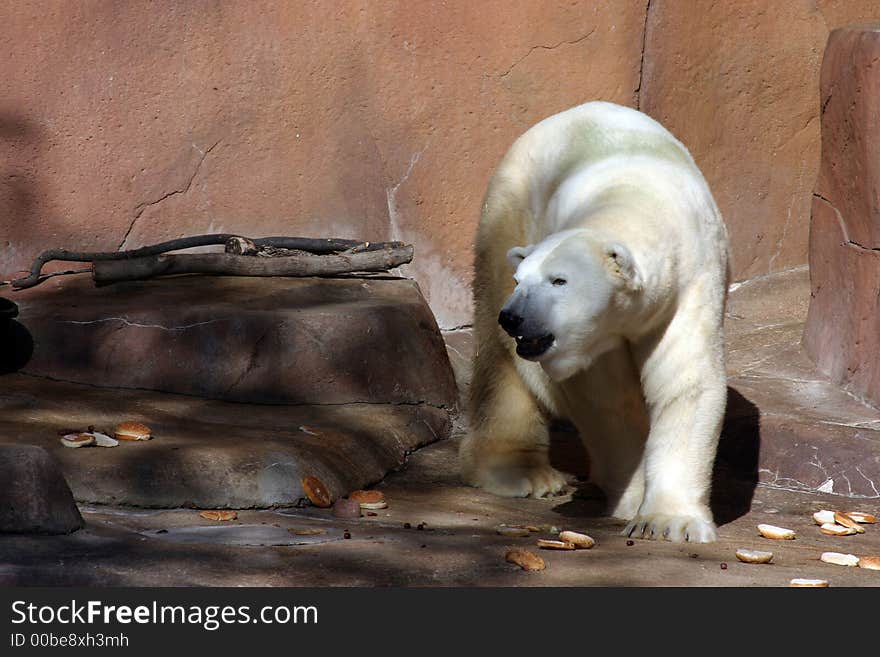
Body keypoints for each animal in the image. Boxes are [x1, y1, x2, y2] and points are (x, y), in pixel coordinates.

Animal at [460, 101, 728, 544]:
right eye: (522, 279)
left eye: (559, 280)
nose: (514, 316)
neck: (637, 202)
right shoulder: (592, 338)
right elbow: (606, 400)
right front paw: (632, 498)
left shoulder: (689, 285)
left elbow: (686, 383)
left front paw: (668, 522)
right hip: (510, 206)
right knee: (500, 356)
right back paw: (522, 472)